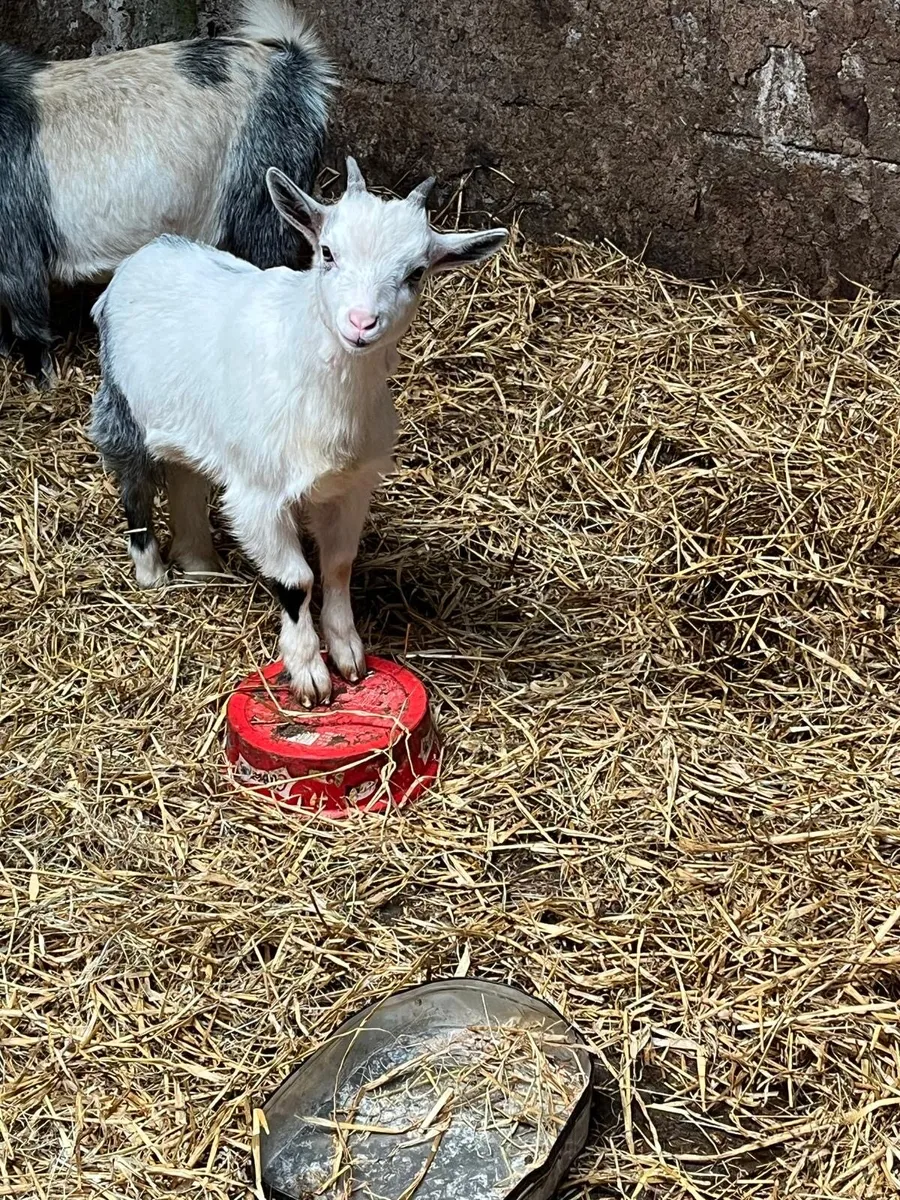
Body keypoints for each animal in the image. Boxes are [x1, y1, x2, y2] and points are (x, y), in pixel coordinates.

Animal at [90, 159, 507, 706]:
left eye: (416, 273)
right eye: (327, 252)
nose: (361, 323)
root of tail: (150, 251)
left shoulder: (351, 486)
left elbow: (338, 565)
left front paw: (349, 653)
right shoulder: (259, 495)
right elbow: (295, 580)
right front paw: (308, 672)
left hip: (191, 425)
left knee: (187, 476)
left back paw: (201, 565)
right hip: (120, 405)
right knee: (133, 483)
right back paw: (152, 572)